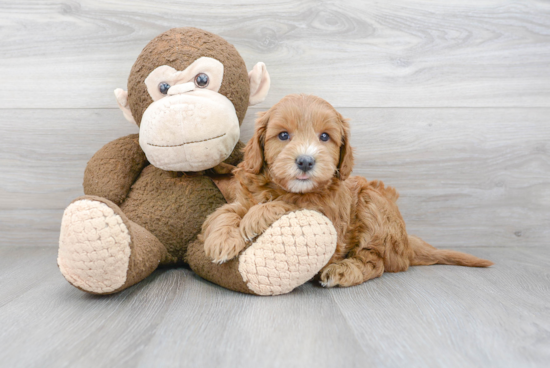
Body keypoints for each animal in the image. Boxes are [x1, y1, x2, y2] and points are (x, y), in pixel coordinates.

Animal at [201, 94, 494, 288]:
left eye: (325, 137)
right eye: (283, 135)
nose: (305, 161)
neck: (284, 188)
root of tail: (406, 242)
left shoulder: (329, 216)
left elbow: (291, 205)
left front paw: (256, 217)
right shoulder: (244, 197)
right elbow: (226, 212)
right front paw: (221, 241)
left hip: (372, 203)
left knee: (375, 262)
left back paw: (342, 270)